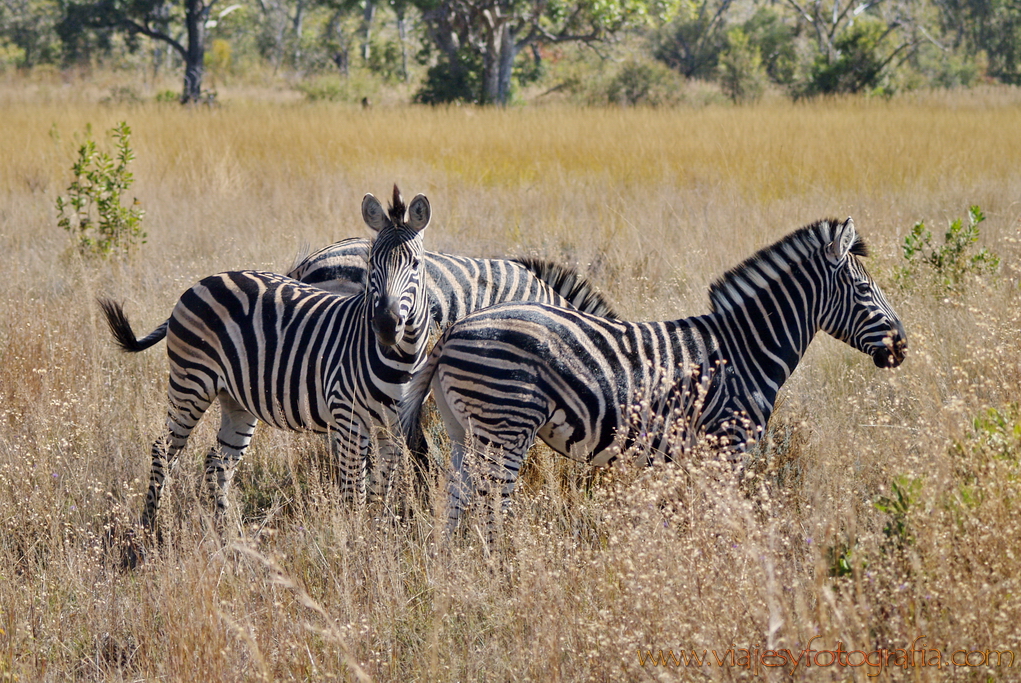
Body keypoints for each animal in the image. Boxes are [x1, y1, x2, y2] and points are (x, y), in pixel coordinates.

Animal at [103, 186, 434, 530]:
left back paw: (227, 533)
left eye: (415, 264)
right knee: (163, 450)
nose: (385, 323)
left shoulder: (395, 426)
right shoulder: (349, 418)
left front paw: (377, 532)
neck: (401, 360)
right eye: (372, 262)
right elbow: (354, 495)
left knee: (218, 460)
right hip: (190, 383)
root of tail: (204, 281)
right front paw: (355, 537)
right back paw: (150, 528)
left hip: (235, 396)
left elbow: (382, 491)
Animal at [400, 218, 910, 530]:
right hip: (506, 428)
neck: (745, 350)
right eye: (865, 290)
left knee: (455, 502)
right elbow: (719, 521)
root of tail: (454, 330)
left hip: (465, 430)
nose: (902, 347)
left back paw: (456, 574)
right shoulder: (727, 447)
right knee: (492, 508)